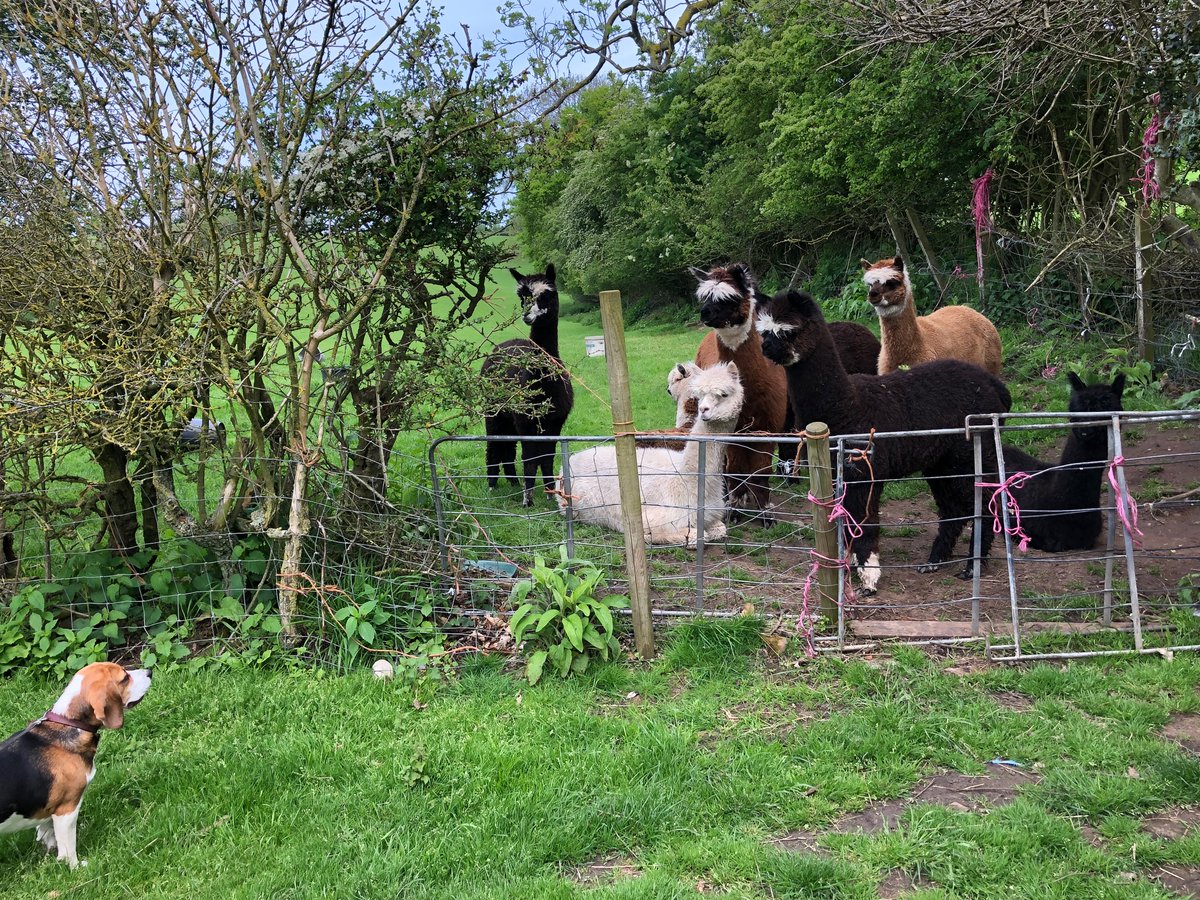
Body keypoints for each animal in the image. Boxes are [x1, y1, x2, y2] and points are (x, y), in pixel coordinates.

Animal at [0, 662, 150, 868]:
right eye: (125, 678)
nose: (150, 671)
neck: (69, 723)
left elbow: (48, 832)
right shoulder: (67, 809)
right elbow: (68, 848)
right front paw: (75, 867)